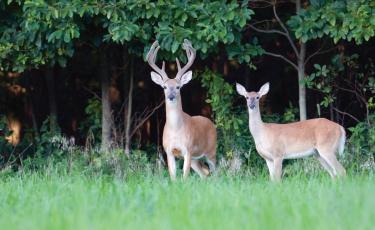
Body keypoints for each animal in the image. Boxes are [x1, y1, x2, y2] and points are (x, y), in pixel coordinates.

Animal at [147, 39, 217, 180]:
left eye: (178, 87)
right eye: (164, 87)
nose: (171, 96)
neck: (175, 130)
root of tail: (211, 123)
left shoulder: (188, 150)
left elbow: (185, 176)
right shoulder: (169, 151)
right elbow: (173, 176)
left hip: (211, 151)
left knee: (217, 172)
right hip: (196, 159)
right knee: (204, 173)